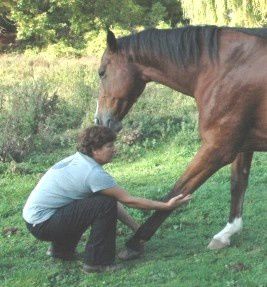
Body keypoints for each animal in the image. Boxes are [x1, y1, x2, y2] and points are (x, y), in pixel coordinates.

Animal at [94, 25, 267, 253]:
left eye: (102, 73)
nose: (100, 120)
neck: (225, 68)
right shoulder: (242, 145)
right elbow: (238, 183)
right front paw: (227, 233)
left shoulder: (218, 148)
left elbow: (178, 189)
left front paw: (135, 242)